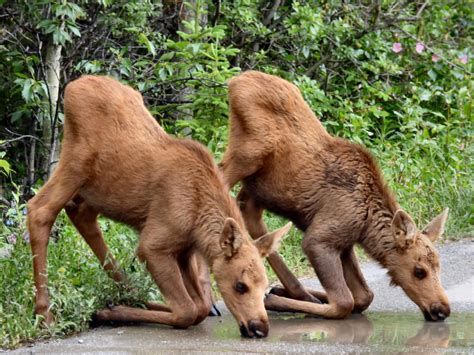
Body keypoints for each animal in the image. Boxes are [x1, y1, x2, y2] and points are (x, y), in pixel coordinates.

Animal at [28, 76, 292, 340]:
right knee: (40, 209)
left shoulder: (184, 250)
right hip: (76, 163)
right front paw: (108, 313)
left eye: (264, 285)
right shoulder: (153, 244)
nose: (259, 328)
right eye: (240, 286)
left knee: (80, 213)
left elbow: (200, 306)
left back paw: (129, 299)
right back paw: (46, 315)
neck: (197, 219)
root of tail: (73, 86)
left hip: (96, 189)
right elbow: (187, 310)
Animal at [220, 70, 450, 322]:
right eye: (419, 271)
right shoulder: (319, 239)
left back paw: (297, 292)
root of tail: (236, 81)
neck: (366, 226)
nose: (442, 309)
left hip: (259, 187)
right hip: (248, 154)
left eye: (439, 266)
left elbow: (364, 296)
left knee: (248, 212)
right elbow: (344, 302)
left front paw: (281, 292)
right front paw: (273, 300)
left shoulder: (345, 243)